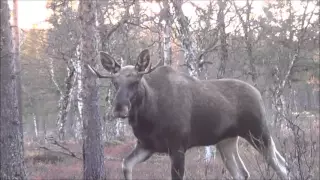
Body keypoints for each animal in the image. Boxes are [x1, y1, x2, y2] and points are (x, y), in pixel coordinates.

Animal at [87, 49, 290, 180]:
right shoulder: (147, 145)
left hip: (258, 133)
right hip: (226, 141)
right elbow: (126, 165)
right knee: (242, 173)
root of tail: (258, 94)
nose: (119, 108)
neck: (147, 117)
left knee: (282, 166)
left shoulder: (178, 147)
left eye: (136, 81)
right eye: (114, 82)